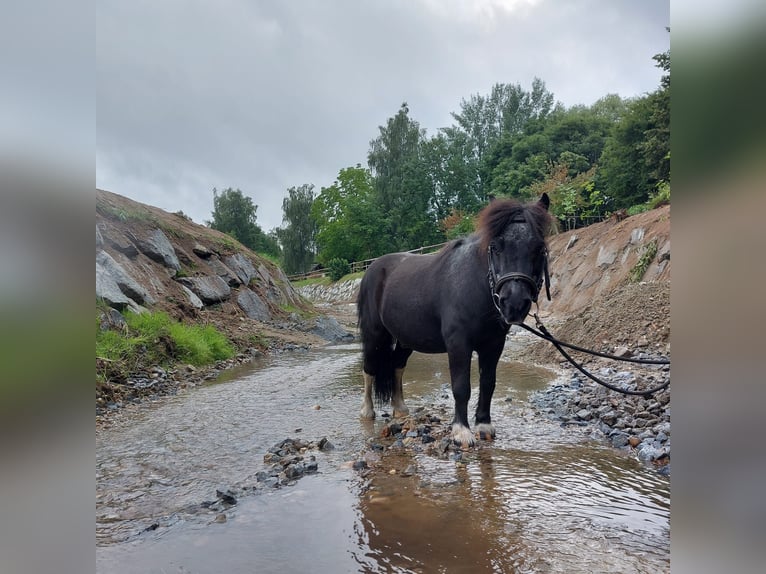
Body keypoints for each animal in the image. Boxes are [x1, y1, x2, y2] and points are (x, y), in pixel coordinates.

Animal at [356, 196, 556, 448]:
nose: (514, 304)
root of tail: (373, 267)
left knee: (397, 366)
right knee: (369, 369)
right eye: (495, 247)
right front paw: (461, 431)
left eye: (539, 248)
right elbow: (461, 387)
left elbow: (488, 383)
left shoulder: (494, 345)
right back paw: (367, 411)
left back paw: (400, 409)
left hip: (405, 338)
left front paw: (484, 425)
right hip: (375, 334)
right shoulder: (458, 344)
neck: (476, 286)